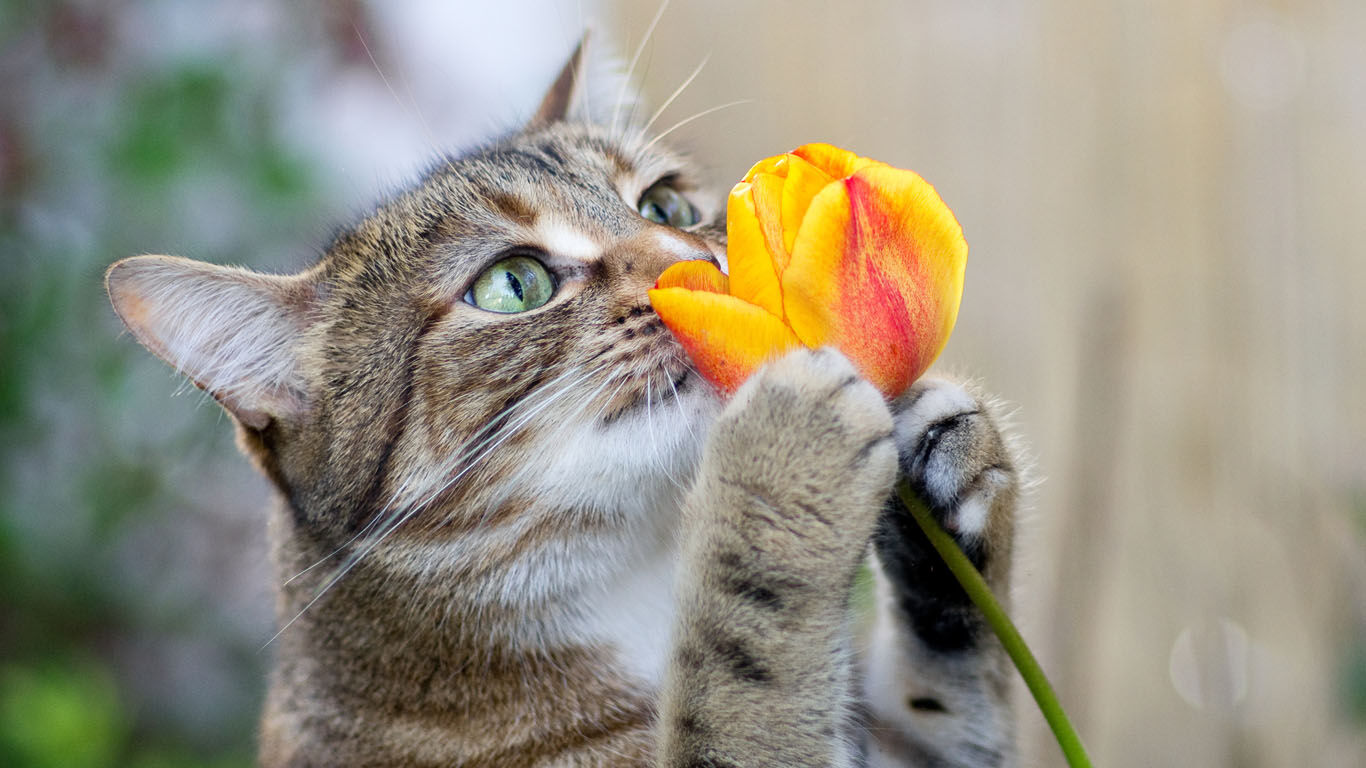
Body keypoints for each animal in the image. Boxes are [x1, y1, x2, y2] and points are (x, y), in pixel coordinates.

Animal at [106, 41, 1021, 765]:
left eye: (665, 203)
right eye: (513, 285)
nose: (700, 263)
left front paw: (945, 461)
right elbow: (738, 687)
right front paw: (779, 465)